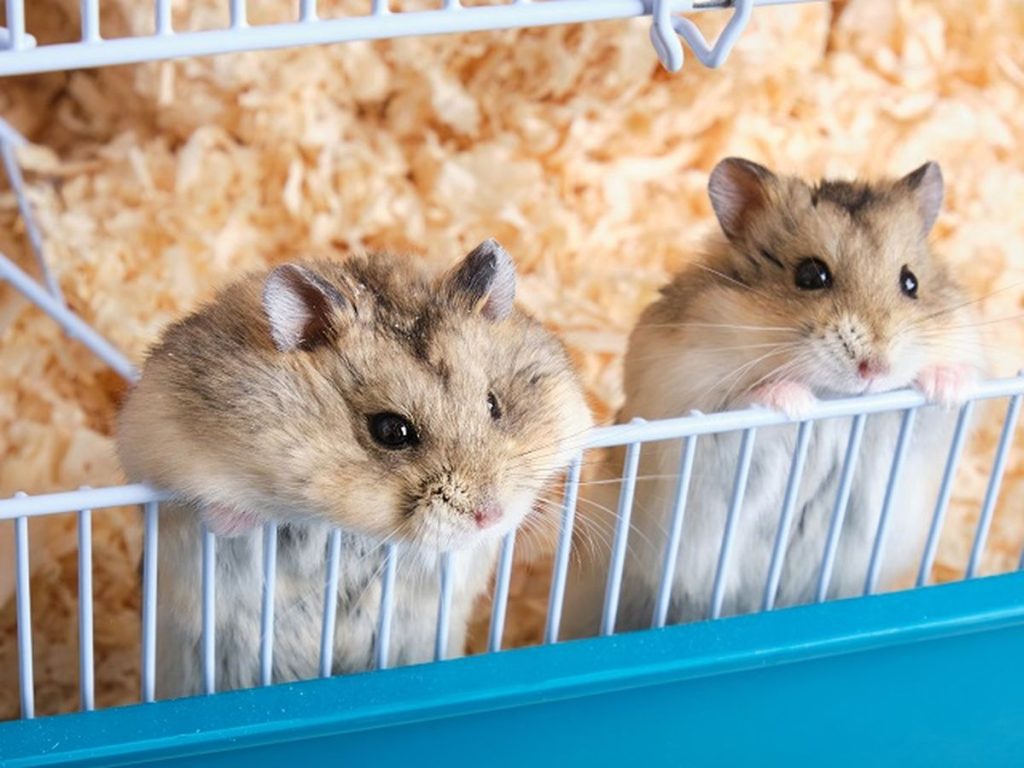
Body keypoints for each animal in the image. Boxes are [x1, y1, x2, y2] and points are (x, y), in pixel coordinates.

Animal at [562, 159, 983, 636]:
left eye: (910, 282)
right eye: (811, 275)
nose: (873, 369)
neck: (838, 401)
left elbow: (938, 403)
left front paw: (949, 387)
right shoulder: (692, 408)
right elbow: (746, 400)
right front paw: (795, 404)